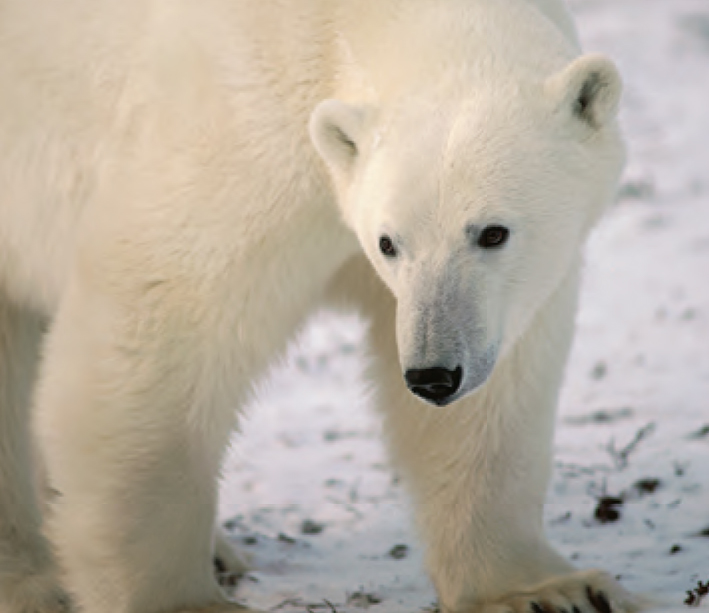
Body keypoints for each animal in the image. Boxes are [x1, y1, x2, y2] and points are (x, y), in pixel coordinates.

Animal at [0, 0, 638, 612]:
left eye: (493, 232)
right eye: (389, 241)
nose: (432, 375)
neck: (342, 20)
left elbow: (495, 392)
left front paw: (546, 591)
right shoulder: (235, 134)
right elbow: (162, 320)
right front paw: (185, 603)